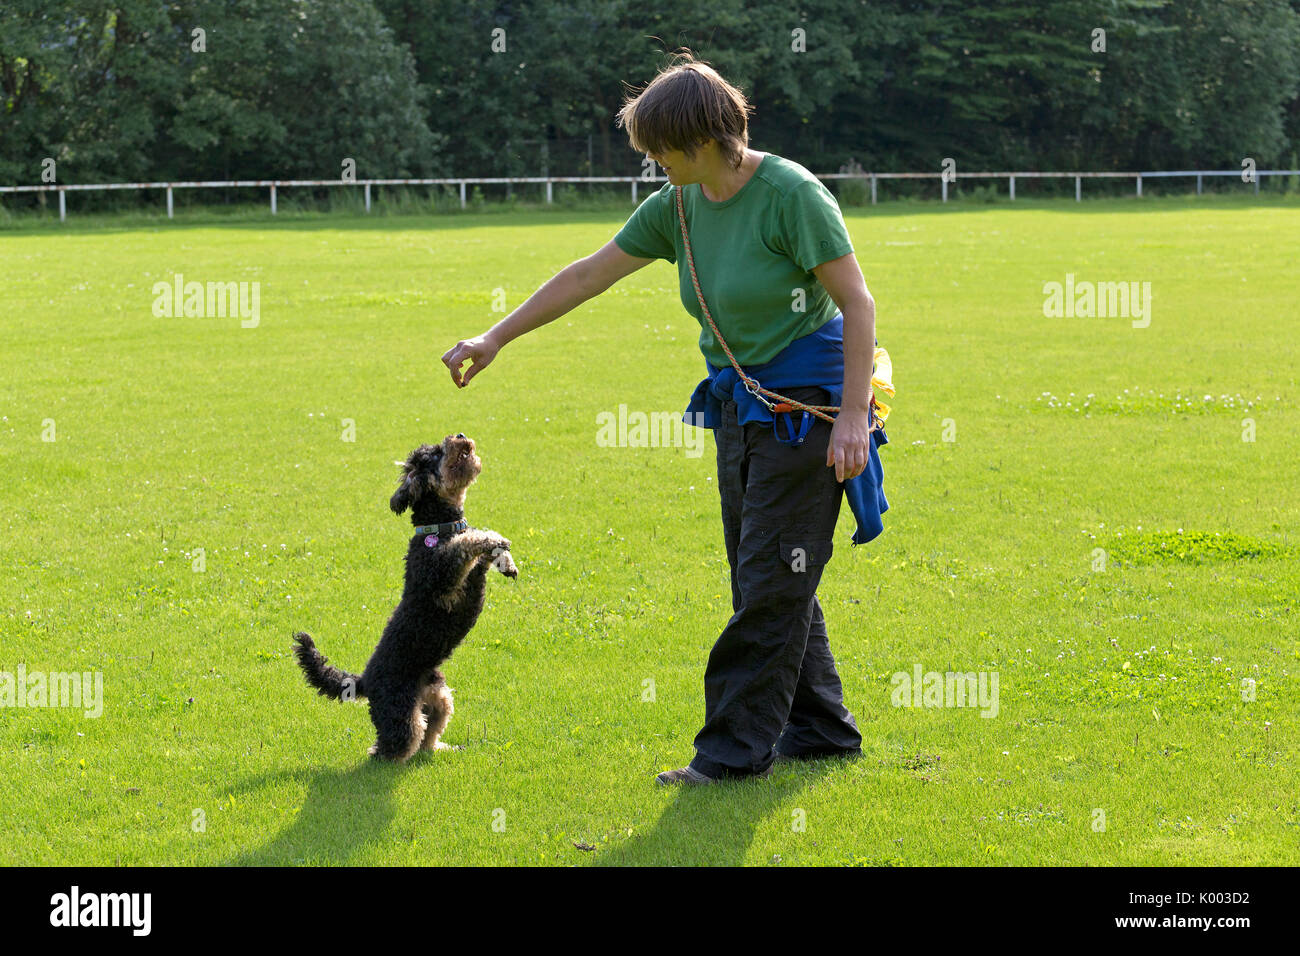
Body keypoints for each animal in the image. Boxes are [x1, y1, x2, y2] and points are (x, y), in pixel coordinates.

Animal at [295, 434, 517, 764]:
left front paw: (507, 561)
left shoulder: (472, 566)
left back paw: (441, 749)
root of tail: (364, 679)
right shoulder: (441, 574)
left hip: (438, 697)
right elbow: (467, 543)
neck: (439, 527)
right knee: (392, 746)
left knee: (429, 734)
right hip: (400, 710)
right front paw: (494, 540)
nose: (459, 436)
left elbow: (481, 545)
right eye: (435, 454)